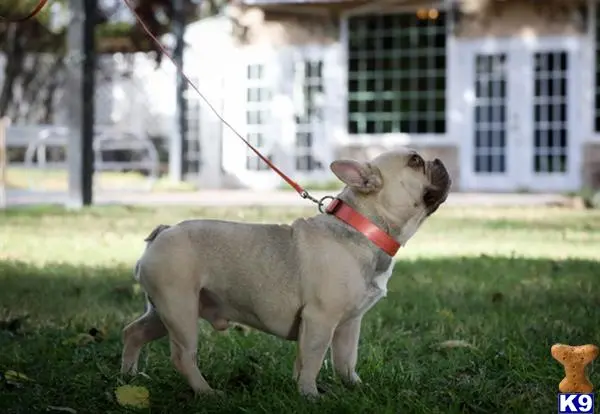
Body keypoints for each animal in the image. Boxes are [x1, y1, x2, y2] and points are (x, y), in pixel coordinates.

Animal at [120, 149, 450, 398]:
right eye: (415, 161)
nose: (438, 160)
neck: (363, 226)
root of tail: (163, 232)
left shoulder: (348, 324)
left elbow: (345, 360)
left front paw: (355, 386)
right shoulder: (319, 320)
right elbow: (313, 359)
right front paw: (309, 394)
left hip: (164, 312)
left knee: (134, 332)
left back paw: (129, 378)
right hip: (180, 309)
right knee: (183, 356)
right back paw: (206, 392)